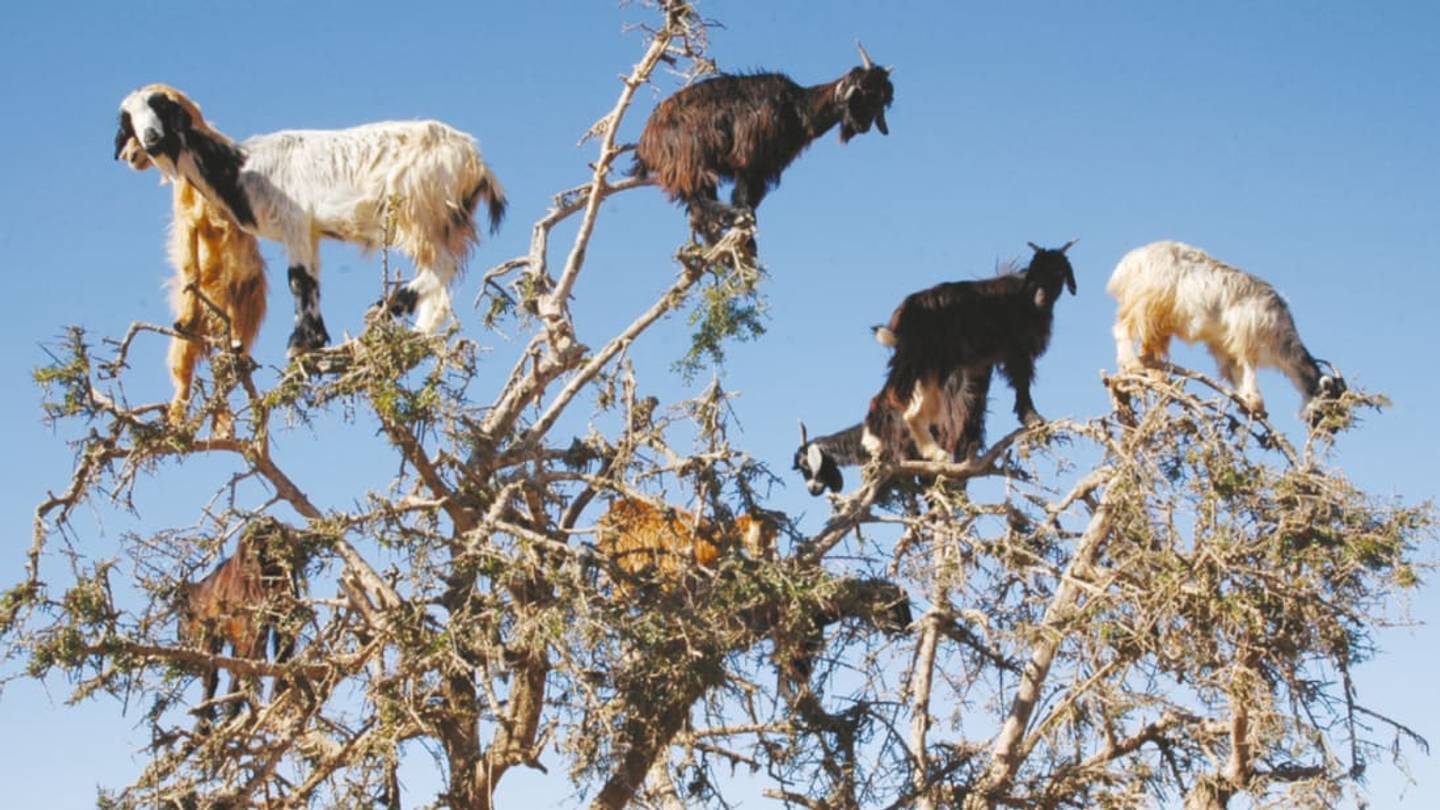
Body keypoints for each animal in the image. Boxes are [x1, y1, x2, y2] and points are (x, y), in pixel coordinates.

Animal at [115, 84, 506, 355]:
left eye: (161, 107)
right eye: (129, 119)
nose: (150, 140)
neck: (241, 167)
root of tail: (475, 162)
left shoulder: (294, 223)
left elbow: (298, 281)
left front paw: (300, 344)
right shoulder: (311, 232)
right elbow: (312, 281)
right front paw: (314, 340)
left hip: (419, 210)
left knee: (441, 266)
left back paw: (388, 308)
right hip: (444, 221)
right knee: (444, 279)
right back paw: (417, 333)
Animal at [175, 521, 301, 722]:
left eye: (181, 615)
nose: (181, 638)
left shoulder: (214, 632)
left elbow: (212, 675)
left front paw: (204, 719)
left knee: (244, 665)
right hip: (286, 611)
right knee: (283, 654)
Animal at [633, 43, 893, 236]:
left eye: (882, 100)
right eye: (862, 92)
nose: (863, 126)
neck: (798, 108)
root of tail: (646, 140)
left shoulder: (765, 167)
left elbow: (749, 197)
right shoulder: (749, 158)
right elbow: (743, 197)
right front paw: (744, 217)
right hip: (690, 160)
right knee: (696, 199)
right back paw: (729, 217)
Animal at [864, 242, 1077, 464]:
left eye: (1058, 272)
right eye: (1035, 273)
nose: (1041, 296)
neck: (1024, 299)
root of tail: (903, 313)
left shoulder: (984, 364)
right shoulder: (1017, 351)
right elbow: (1022, 384)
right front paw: (1033, 419)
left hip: (930, 367)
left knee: (912, 413)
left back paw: (936, 453)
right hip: (915, 359)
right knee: (885, 397)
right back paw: (873, 442)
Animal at [1107, 240, 1346, 420]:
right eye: (1329, 400)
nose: (1331, 430)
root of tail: (1130, 262)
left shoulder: (1223, 345)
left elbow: (1234, 369)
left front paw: (1245, 402)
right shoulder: (1247, 333)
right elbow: (1247, 364)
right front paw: (1256, 403)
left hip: (1159, 320)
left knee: (1149, 347)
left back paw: (1159, 378)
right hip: (1145, 303)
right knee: (1122, 328)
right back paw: (1132, 365)